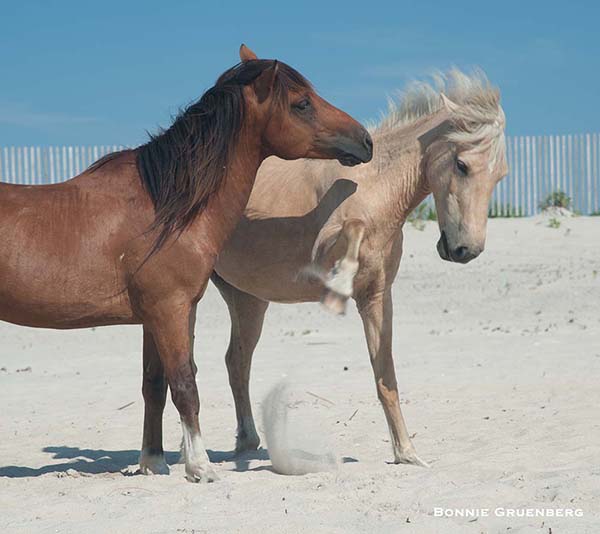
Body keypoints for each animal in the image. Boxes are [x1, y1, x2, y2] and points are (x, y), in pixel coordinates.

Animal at [1, 44, 370, 484]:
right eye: (301, 103)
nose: (365, 140)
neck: (165, 207)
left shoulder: (155, 318)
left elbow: (154, 386)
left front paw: (153, 462)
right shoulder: (170, 310)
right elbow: (184, 385)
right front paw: (200, 467)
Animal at [213, 70, 508, 468]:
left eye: (500, 175)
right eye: (462, 164)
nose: (466, 250)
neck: (375, 187)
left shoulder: (376, 297)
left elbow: (386, 377)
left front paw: (407, 453)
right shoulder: (324, 248)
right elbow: (351, 231)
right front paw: (338, 285)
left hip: (248, 301)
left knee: (236, 362)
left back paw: (246, 442)